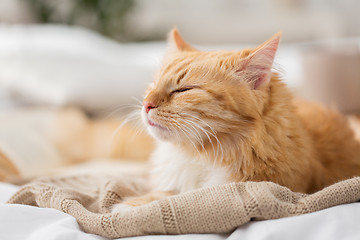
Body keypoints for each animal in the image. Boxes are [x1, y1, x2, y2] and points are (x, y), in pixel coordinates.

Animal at [112, 28, 360, 212]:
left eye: (183, 90)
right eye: (152, 86)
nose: (146, 104)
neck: (199, 157)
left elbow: (178, 198)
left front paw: (131, 206)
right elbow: (167, 192)